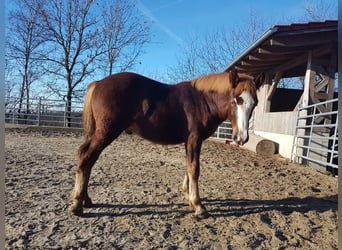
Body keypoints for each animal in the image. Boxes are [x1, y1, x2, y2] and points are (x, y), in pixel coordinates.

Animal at [70, 70, 262, 217]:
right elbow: (194, 168)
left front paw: (188, 197)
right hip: (106, 133)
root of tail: (99, 83)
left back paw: (85, 199)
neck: (202, 100)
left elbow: (188, 166)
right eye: (237, 99)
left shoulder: (190, 140)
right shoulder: (194, 138)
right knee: (85, 156)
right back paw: (77, 204)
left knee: (88, 159)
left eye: (255, 103)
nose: (241, 138)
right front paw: (198, 205)